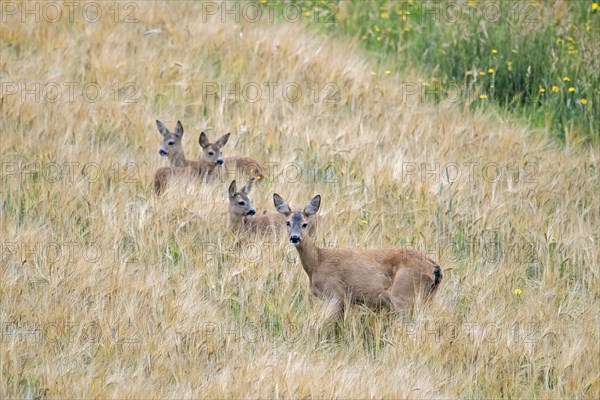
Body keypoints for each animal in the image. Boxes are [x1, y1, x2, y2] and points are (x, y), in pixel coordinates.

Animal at [274, 195, 442, 316]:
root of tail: (434, 267)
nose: (295, 237)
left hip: (403, 295)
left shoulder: (335, 294)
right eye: (288, 222)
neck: (317, 262)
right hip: (428, 297)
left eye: (305, 224)